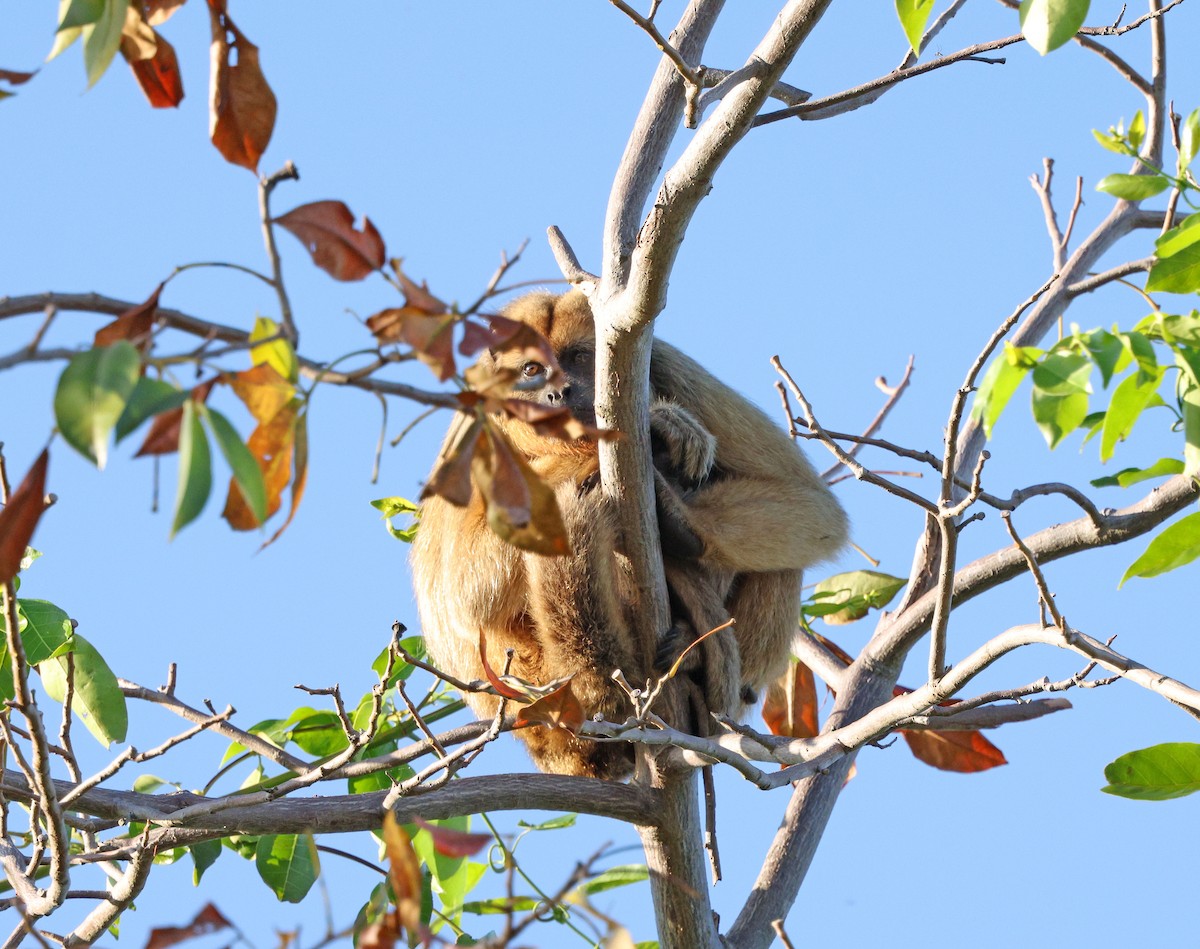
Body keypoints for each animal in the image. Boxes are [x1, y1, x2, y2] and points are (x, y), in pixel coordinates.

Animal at [410, 290, 848, 778]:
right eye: (531, 370)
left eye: (579, 357)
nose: (558, 391)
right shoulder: (475, 419)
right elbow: (462, 593)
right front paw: (613, 445)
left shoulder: (670, 366)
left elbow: (812, 504)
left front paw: (667, 434)